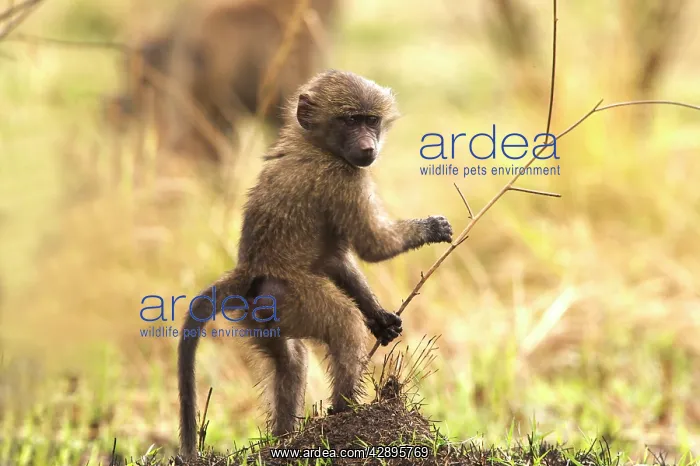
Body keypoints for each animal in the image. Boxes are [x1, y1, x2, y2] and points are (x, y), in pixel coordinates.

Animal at [177, 69, 454, 458]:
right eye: (351, 120)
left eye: (371, 120)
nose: (368, 147)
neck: (316, 144)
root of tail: (250, 270)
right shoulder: (343, 178)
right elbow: (374, 246)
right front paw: (433, 227)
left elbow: (336, 259)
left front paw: (380, 318)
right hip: (291, 297)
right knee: (343, 324)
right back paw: (344, 411)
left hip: (260, 315)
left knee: (290, 360)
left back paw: (283, 439)